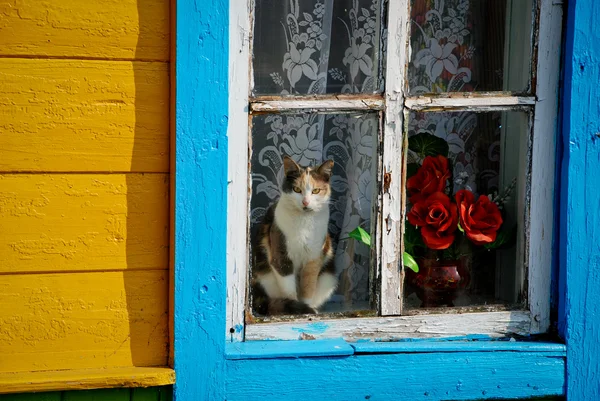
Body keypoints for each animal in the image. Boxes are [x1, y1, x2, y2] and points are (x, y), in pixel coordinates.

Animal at [251, 155, 338, 314]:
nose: (305, 202)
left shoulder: (313, 258)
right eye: (297, 189)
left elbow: (308, 286)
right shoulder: (281, 256)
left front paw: (307, 308)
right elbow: (289, 289)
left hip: (328, 278)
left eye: (316, 190)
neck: (304, 222)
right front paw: (295, 309)